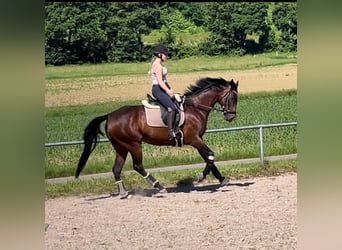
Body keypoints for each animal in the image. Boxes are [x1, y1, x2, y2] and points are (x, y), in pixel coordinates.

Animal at [76, 77, 239, 198]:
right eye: (233, 97)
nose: (231, 117)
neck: (196, 108)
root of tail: (110, 115)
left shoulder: (198, 139)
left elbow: (208, 158)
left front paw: (222, 179)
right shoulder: (194, 139)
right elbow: (210, 155)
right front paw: (201, 176)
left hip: (121, 147)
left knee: (116, 169)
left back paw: (123, 193)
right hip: (133, 144)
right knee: (138, 166)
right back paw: (159, 187)